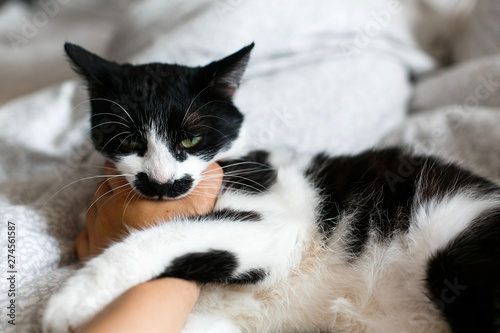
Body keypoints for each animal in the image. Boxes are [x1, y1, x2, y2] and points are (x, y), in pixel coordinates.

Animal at [43, 42, 500, 330]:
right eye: (128, 142)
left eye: (191, 140)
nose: (160, 183)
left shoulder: (278, 227)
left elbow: (163, 234)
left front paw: (75, 297)